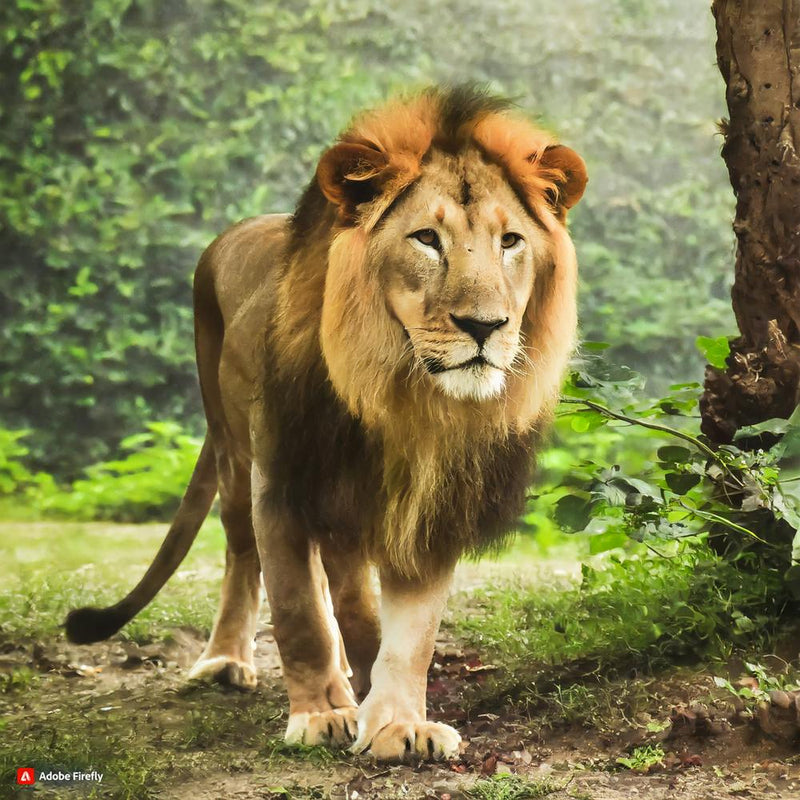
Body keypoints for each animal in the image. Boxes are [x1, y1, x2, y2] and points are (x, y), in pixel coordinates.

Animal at [65, 86, 587, 761]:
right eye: (426, 239)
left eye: (511, 241)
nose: (485, 325)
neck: (403, 397)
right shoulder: (283, 481)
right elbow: (299, 612)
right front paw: (318, 715)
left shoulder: (430, 507)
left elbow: (409, 635)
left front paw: (397, 723)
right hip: (235, 453)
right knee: (243, 556)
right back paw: (228, 662)